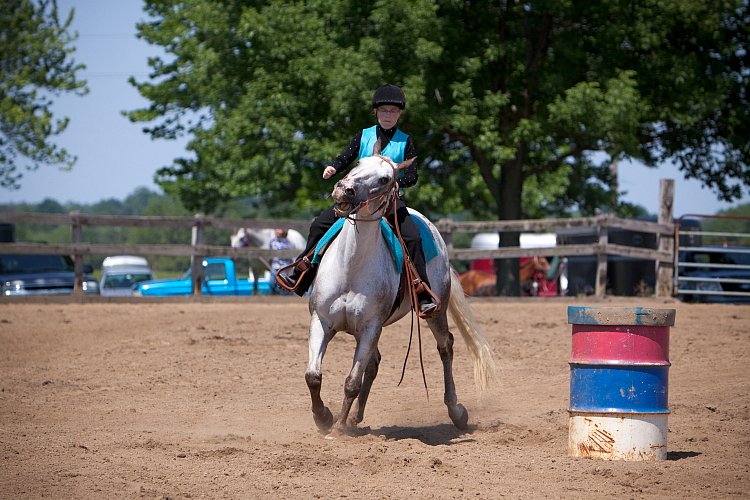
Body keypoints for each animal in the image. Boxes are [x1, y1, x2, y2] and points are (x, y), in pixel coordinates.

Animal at [302, 154, 496, 436]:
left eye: (385, 179)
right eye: (358, 163)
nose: (344, 189)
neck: (351, 267)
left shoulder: (371, 328)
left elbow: (352, 382)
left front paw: (338, 428)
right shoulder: (322, 321)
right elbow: (313, 376)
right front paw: (323, 417)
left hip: (435, 312)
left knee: (445, 346)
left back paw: (456, 411)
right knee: (374, 363)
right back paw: (355, 417)